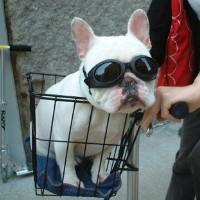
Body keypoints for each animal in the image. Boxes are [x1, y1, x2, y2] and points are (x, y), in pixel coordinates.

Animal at [35, 9, 158, 187]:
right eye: (106, 74)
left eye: (144, 67)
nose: (129, 81)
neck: (100, 112)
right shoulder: (64, 141)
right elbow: (66, 163)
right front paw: (71, 181)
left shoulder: (109, 142)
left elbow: (100, 160)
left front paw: (99, 175)